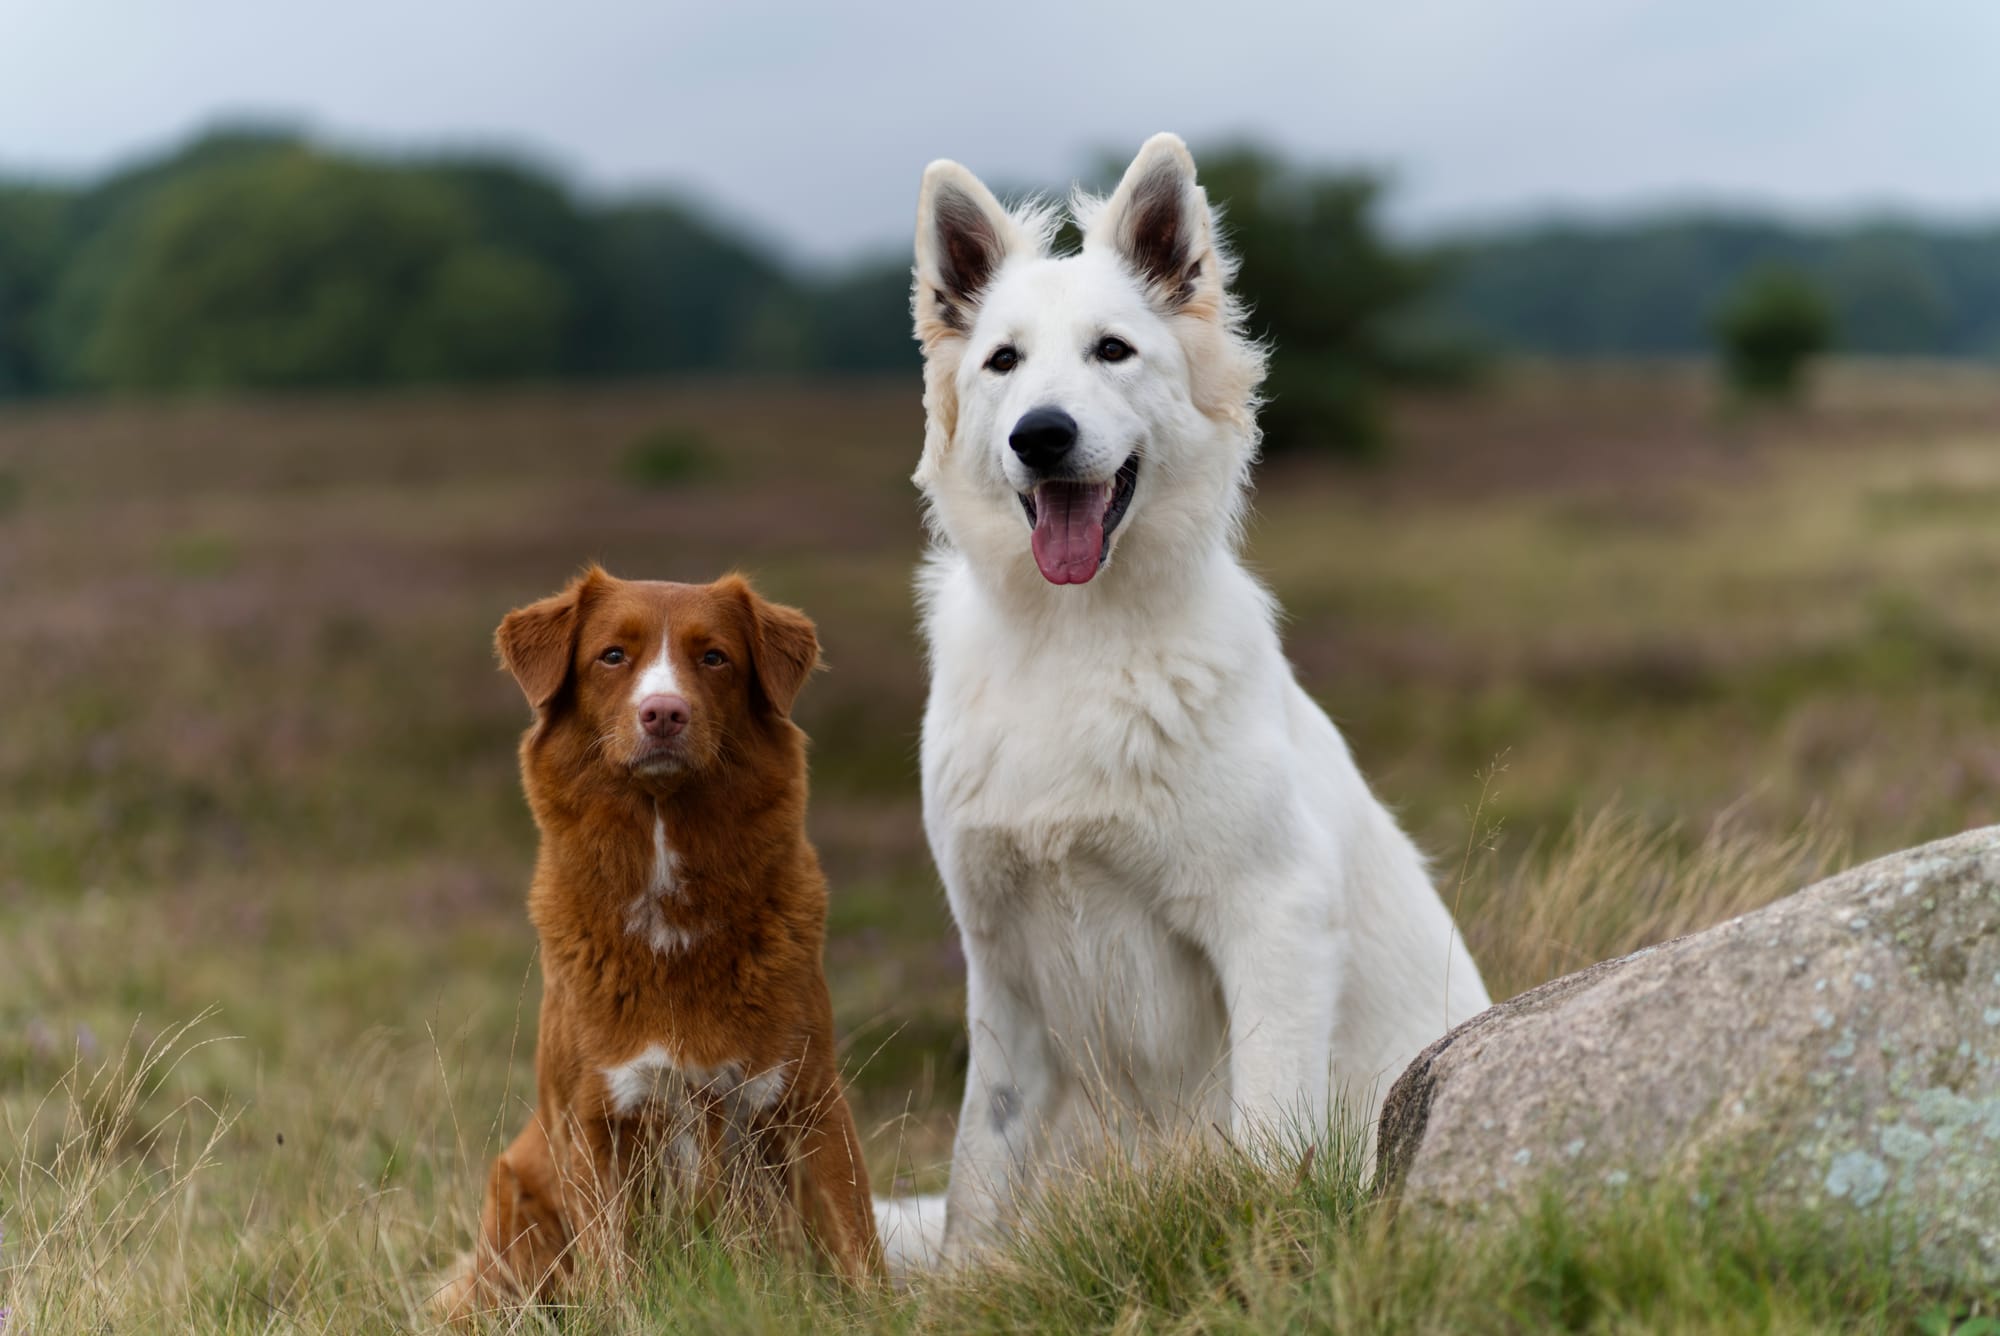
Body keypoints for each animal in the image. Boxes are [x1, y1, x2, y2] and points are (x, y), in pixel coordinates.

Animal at [446, 564, 884, 1312]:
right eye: (611, 656)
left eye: (714, 658)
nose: (663, 713)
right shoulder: (594, 1122)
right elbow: (614, 1272)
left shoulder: (807, 1100)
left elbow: (855, 1241)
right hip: (516, 1196)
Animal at [884, 136, 1496, 1272]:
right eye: (1003, 362)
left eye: (1112, 351)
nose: (1041, 435)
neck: (1074, 643)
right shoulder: (1002, 978)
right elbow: (977, 1186)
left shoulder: (1273, 919)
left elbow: (1264, 1134)